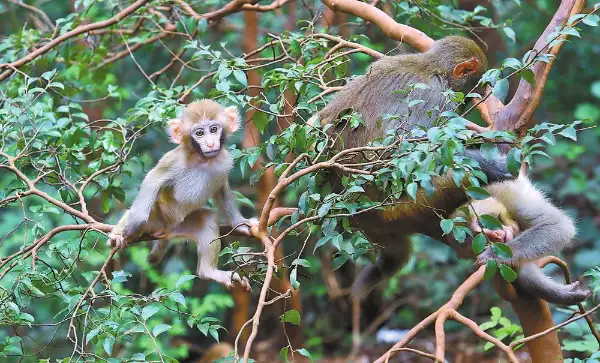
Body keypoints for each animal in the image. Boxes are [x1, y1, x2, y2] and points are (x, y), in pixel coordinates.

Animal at [108, 99, 255, 292]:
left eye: (213, 129)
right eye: (199, 133)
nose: (210, 144)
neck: (203, 159)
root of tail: (166, 229)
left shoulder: (224, 161)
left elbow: (221, 188)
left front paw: (240, 223)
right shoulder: (174, 161)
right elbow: (152, 180)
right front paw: (131, 226)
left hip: (181, 226)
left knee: (206, 219)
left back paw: (209, 272)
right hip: (155, 217)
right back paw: (119, 232)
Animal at [312, 35, 584, 302]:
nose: (475, 97)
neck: (431, 68)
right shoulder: (433, 97)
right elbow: (402, 152)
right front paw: (493, 165)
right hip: (403, 206)